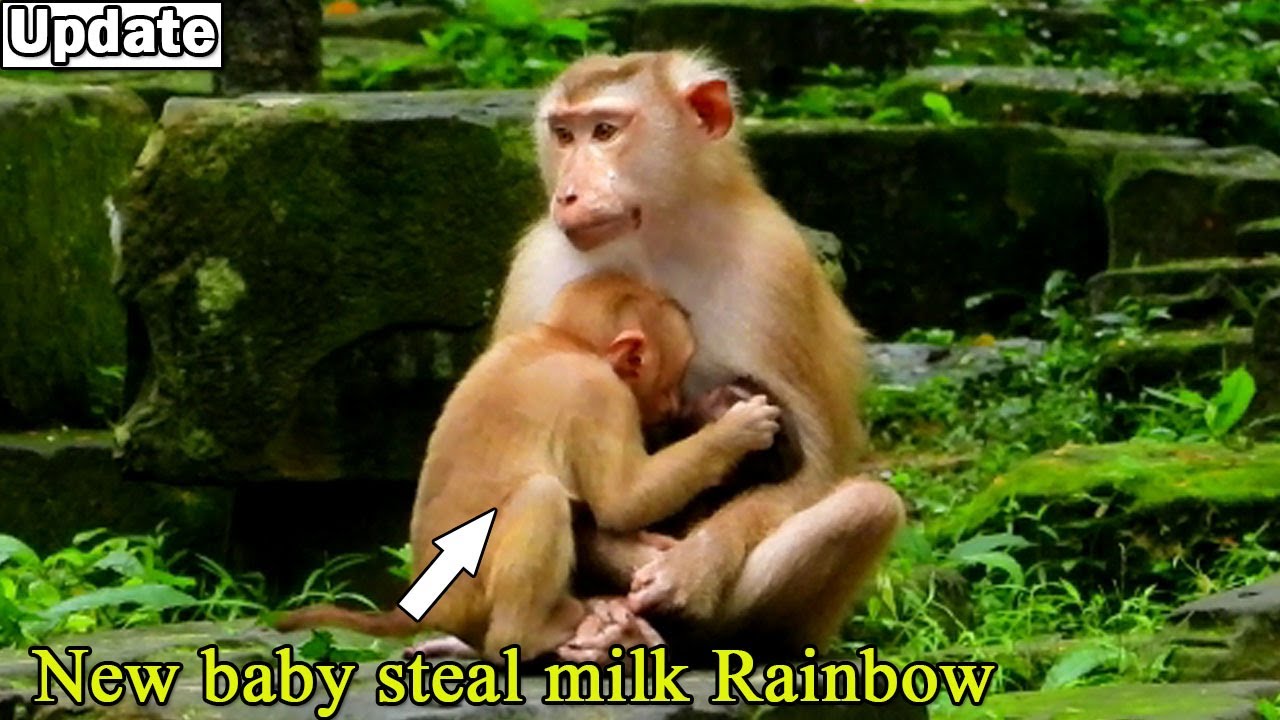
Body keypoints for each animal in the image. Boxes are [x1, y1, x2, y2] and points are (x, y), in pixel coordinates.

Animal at [276, 272, 782, 662]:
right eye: (673, 378)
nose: (676, 402)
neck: (563, 341)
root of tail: (430, 607)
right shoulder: (599, 394)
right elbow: (622, 500)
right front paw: (734, 431)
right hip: (471, 595)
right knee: (543, 497)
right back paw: (526, 638)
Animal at [490, 51, 907, 659]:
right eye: (563, 134)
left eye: (606, 130)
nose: (567, 194)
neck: (653, 237)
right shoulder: (534, 265)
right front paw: (631, 553)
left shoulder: (775, 265)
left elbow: (818, 465)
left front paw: (694, 566)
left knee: (867, 506)